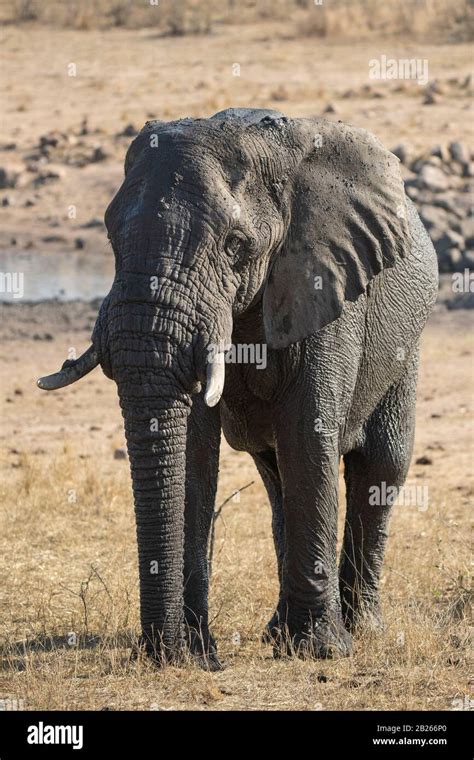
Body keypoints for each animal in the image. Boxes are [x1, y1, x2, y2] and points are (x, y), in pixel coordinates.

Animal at [39, 108, 438, 672]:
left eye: (236, 246)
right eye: (112, 237)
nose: (165, 653)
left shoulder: (325, 282)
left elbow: (308, 433)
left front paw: (321, 651)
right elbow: (193, 450)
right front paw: (195, 649)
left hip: (407, 341)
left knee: (379, 465)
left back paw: (361, 630)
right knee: (277, 476)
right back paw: (278, 633)